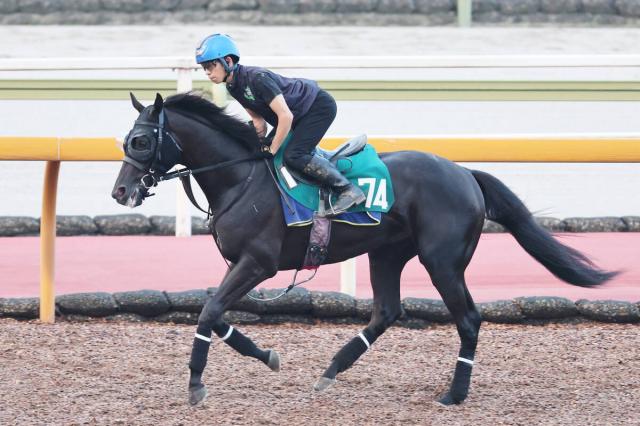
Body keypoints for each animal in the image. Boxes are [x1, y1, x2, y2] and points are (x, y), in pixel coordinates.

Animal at [112, 92, 617, 406]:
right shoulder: (242, 264)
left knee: (469, 319)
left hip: (442, 261)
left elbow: (209, 312)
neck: (242, 178)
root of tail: (465, 173)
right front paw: (267, 355)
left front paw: (197, 385)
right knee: (387, 311)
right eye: (127, 139)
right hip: (387, 253)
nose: (120, 192)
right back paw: (331, 370)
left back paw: (453, 394)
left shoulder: (258, 263)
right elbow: (214, 315)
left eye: (141, 140)